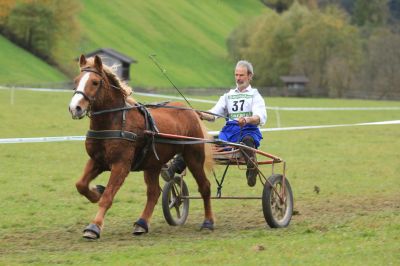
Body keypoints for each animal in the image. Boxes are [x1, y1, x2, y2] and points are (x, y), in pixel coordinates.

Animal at [68, 54, 216, 239]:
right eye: (76, 80)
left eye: (95, 82)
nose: (75, 108)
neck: (115, 121)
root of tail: (191, 111)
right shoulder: (97, 161)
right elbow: (80, 185)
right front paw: (96, 193)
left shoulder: (121, 165)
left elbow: (108, 196)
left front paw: (94, 226)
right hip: (153, 164)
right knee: (154, 192)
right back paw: (142, 223)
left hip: (193, 157)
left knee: (205, 186)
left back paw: (208, 222)